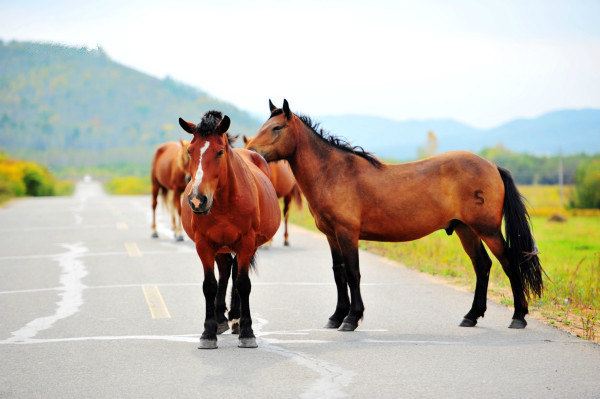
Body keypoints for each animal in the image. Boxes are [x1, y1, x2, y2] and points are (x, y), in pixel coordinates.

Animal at [178, 111, 282, 348]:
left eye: (219, 152)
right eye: (190, 151)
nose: (197, 200)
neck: (225, 202)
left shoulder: (246, 242)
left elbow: (243, 283)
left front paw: (247, 332)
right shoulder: (204, 244)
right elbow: (210, 285)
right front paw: (208, 333)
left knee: (234, 273)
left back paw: (235, 318)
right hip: (221, 246)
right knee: (225, 271)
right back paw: (221, 319)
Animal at [246, 99, 548, 332]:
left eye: (276, 128)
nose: (251, 154)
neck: (335, 173)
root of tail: (493, 166)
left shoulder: (347, 234)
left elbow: (353, 273)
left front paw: (352, 318)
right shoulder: (332, 235)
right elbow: (339, 273)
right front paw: (336, 317)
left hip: (487, 230)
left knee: (509, 263)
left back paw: (518, 317)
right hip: (466, 229)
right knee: (482, 266)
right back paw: (471, 316)